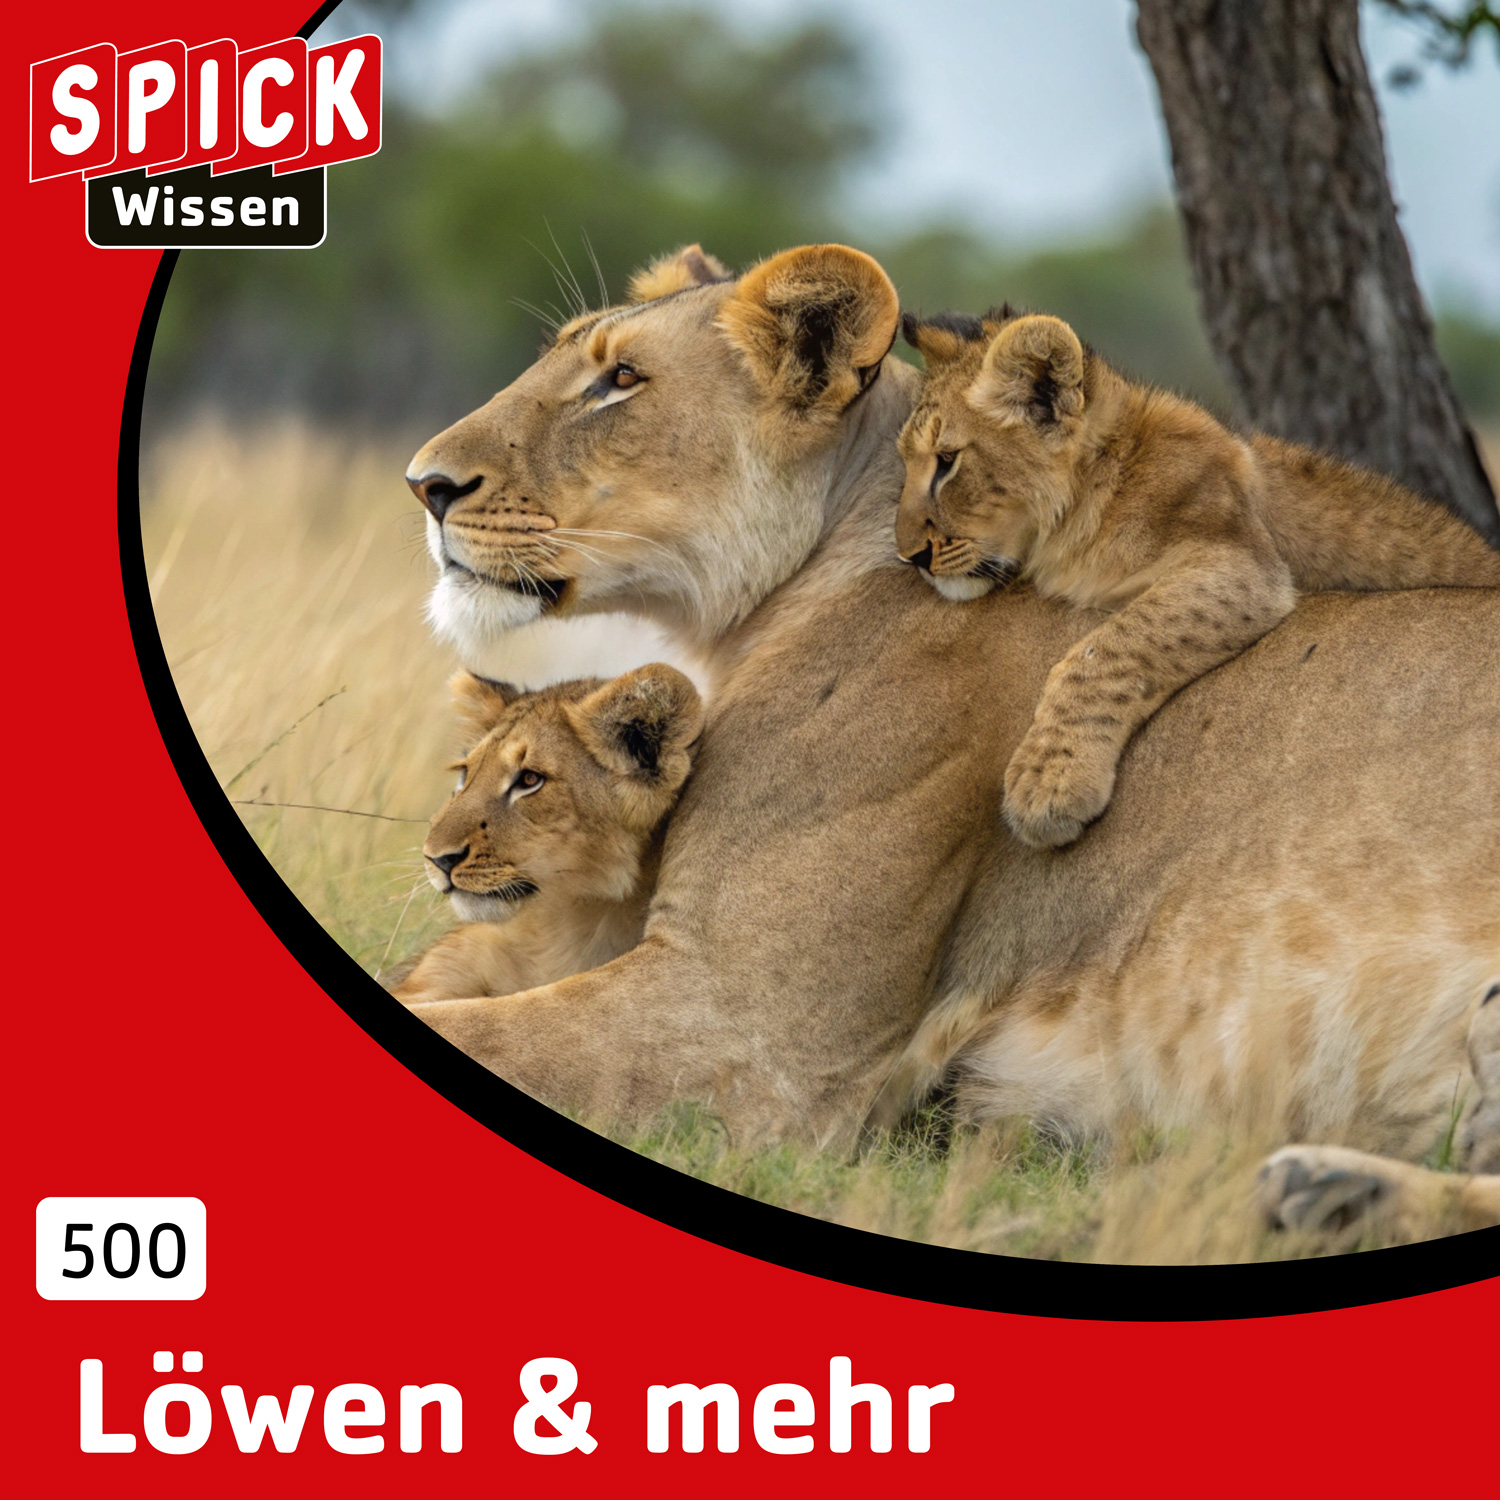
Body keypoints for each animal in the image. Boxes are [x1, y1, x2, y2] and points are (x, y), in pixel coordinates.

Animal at [895, 309, 1500, 849]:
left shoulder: (1241, 564)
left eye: (947, 461)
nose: (910, 556)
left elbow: (1103, 649)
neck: (1094, 496)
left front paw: (1049, 783)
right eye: (906, 461)